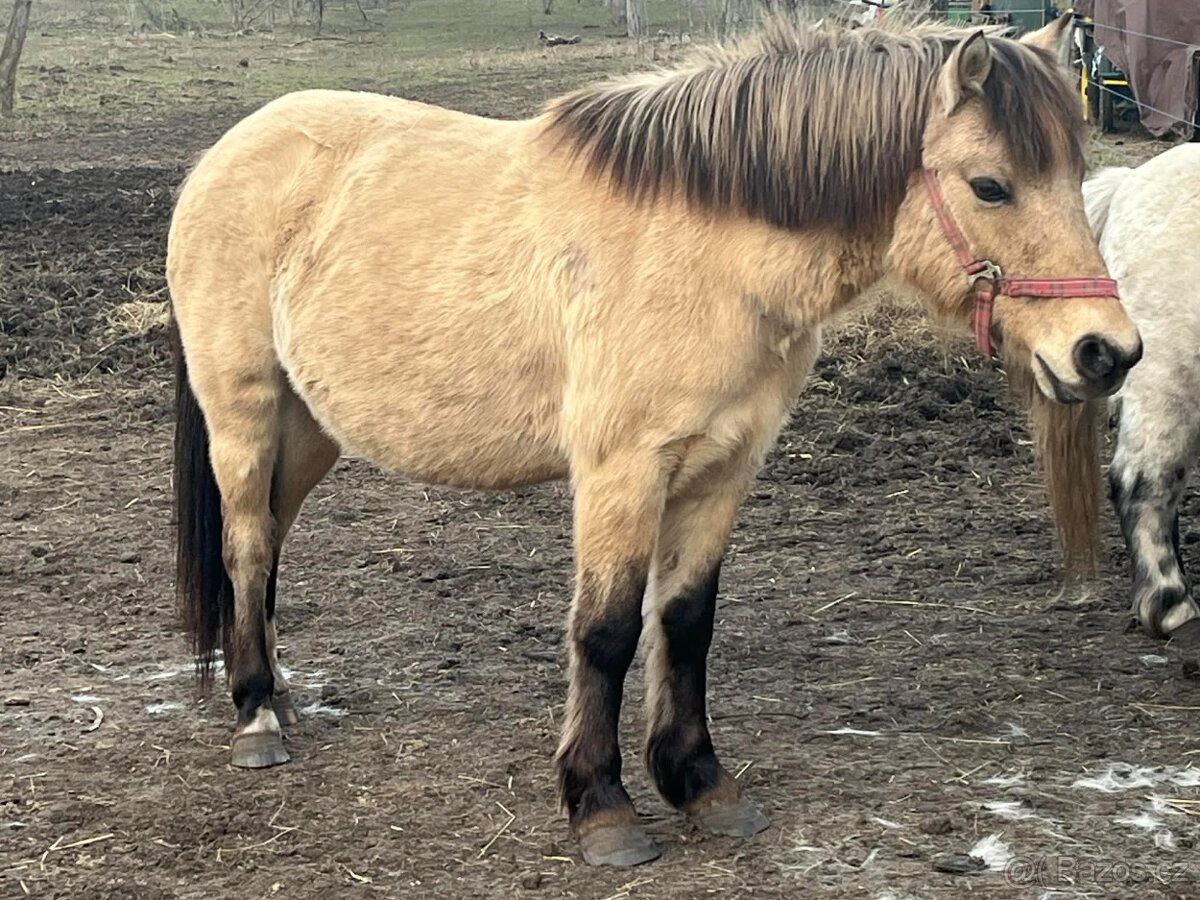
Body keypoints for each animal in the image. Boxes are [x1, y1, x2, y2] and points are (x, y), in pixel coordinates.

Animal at [167, 14, 1142, 867]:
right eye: (990, 185)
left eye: (1076, 174)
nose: (1107, 352)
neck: (709, 252)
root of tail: (227, 153)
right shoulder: (622, 473)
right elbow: (604, 633)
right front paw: (602, 807)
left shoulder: (724, 468)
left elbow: (685, 622)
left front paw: (699, 783)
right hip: (245, 412)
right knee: (246, 546)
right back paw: (255, 718)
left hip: (311, 431)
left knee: (268, 545)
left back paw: (281, 694)